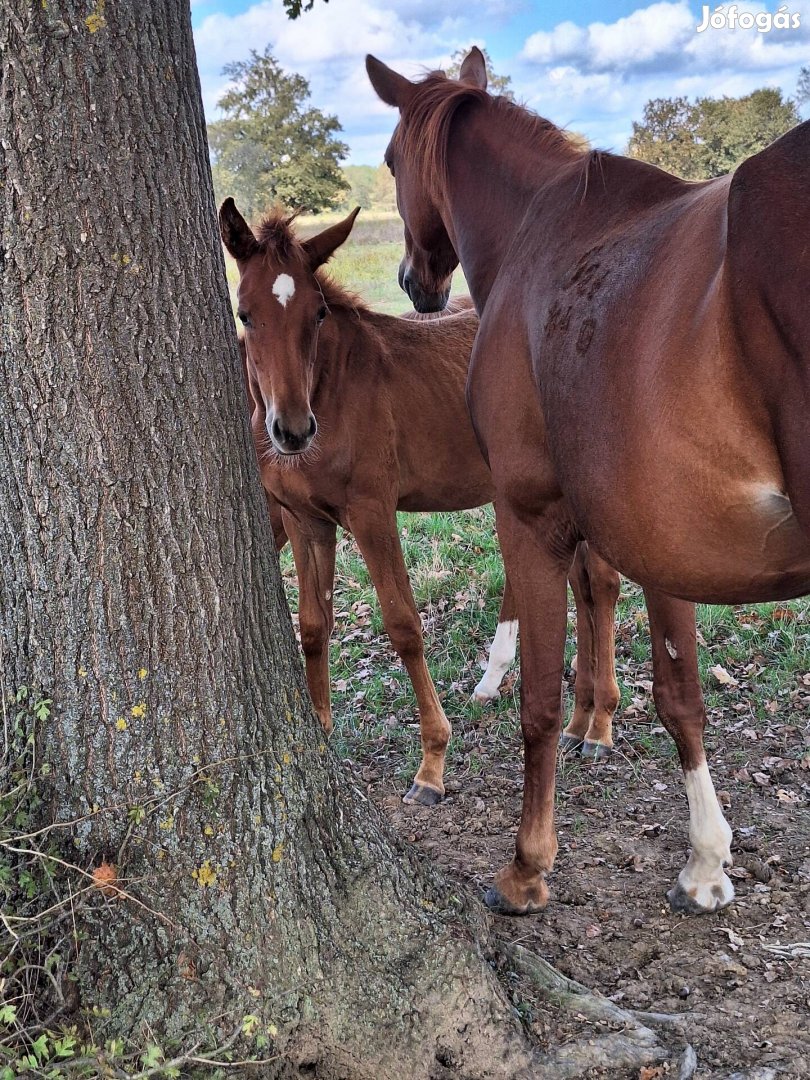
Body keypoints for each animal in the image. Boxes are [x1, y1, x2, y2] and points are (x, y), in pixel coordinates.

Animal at [219, 196, 626, 803]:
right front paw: (320, 729)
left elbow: (404, 625)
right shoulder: (304, 520)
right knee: (579, 584)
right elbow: (313, 625)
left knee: (601, 583)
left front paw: (431, 764)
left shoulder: (371, 512)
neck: (332, 391)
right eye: (245, 313)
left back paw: (599, 725)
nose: (291, 431)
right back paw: (574, 720)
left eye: (318, 314)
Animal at [369, 48, 810, 911]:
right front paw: (706, 860)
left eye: (393, 161)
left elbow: (538, 699)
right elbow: (680, 694)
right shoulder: (662, 540)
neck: (543, 236)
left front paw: (526, 866)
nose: (413, 282)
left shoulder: (527, 513)